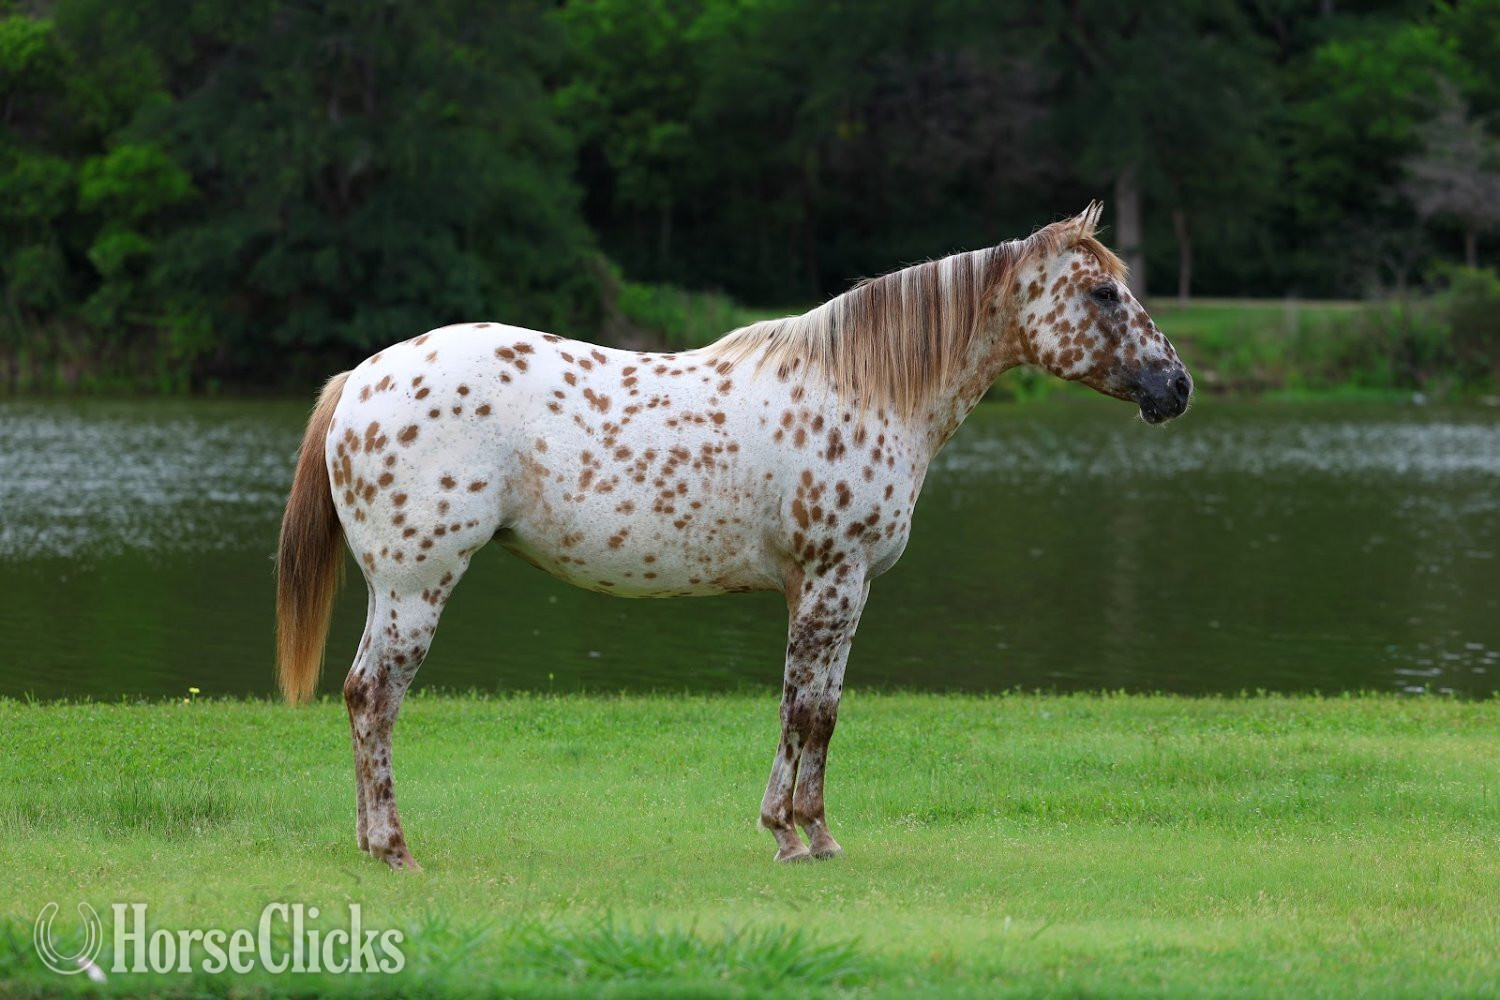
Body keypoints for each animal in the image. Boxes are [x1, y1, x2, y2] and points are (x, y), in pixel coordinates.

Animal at [275, 203, 1192, 870]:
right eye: (1104, 294)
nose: (1176, 386)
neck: (862, 388)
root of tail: (362, 377)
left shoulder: (834, 587)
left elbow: (811, 708)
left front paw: (800, 830)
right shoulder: (831, 578)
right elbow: (809, 710)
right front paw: (799, 836)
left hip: (396, 588)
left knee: (362, 697)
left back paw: (372, 844)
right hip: (415, 584)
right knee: (375, 697)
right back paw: (395, 849)